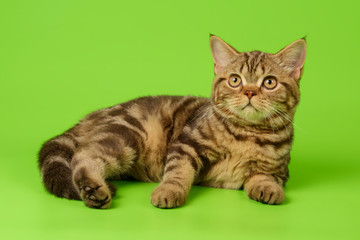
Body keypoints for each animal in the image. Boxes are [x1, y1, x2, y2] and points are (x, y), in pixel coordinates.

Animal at [37, 34, 306, 209]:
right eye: (235, 80)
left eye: (269, 82)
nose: (249, 92)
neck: (246, 134)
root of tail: (90, 117)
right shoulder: (186, 144)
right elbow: (178, 172)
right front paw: (169, 191)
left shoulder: (279, 170)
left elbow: (264, 176)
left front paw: (267, 188)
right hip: (127, 135)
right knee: (83, 157)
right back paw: (93, 189)